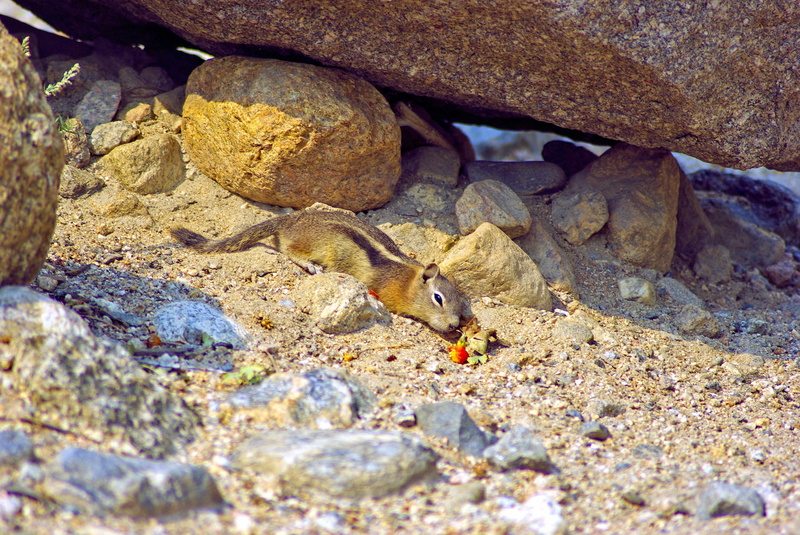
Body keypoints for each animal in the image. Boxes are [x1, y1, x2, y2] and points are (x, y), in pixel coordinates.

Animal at [170, 208, 467, 332]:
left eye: (461, 303)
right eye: (438, 298)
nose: (454, 325)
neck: (407, 281)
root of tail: (289, 219)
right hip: (315, 245)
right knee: (289, 249)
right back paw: (310, 265)